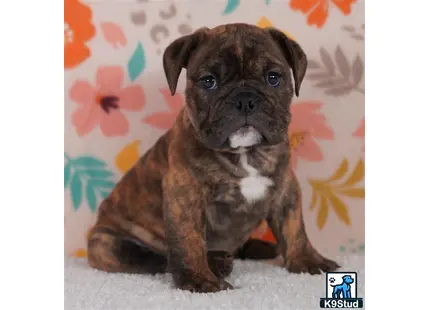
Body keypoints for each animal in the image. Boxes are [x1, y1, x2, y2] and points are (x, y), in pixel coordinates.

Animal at [87, 23, 340, 294]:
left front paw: (308, 260)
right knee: (155, 257)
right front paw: (199, 279)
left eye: (273, 78)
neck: (245, 154)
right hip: (107, 244)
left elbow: (294, 227)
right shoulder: (185, 193)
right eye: (209, 81)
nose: (244, 100)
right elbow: (189, 240)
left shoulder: (285, 189)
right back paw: (216, 262)